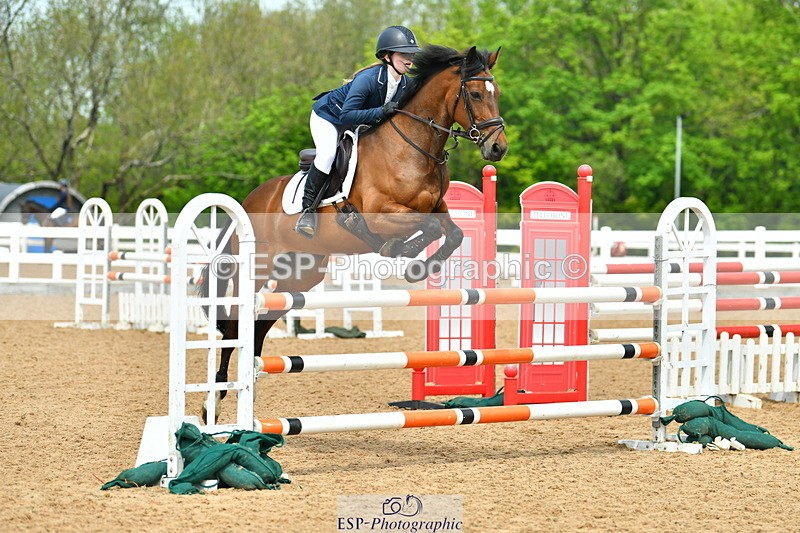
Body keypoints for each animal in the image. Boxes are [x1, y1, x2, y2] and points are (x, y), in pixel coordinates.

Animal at [200, 44, 508, 422]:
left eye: (497, 93)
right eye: (476, 94)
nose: (498, 148)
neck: (413, 146)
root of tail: (248, 201)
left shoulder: (437, 208)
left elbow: (453, 234)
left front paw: (418, 265)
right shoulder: (381, 214)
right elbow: (425, 228)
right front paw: (403, 255)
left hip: (301, 275)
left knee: (260, 326)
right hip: (257, 269)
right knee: (234, 328)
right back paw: (213, 405)